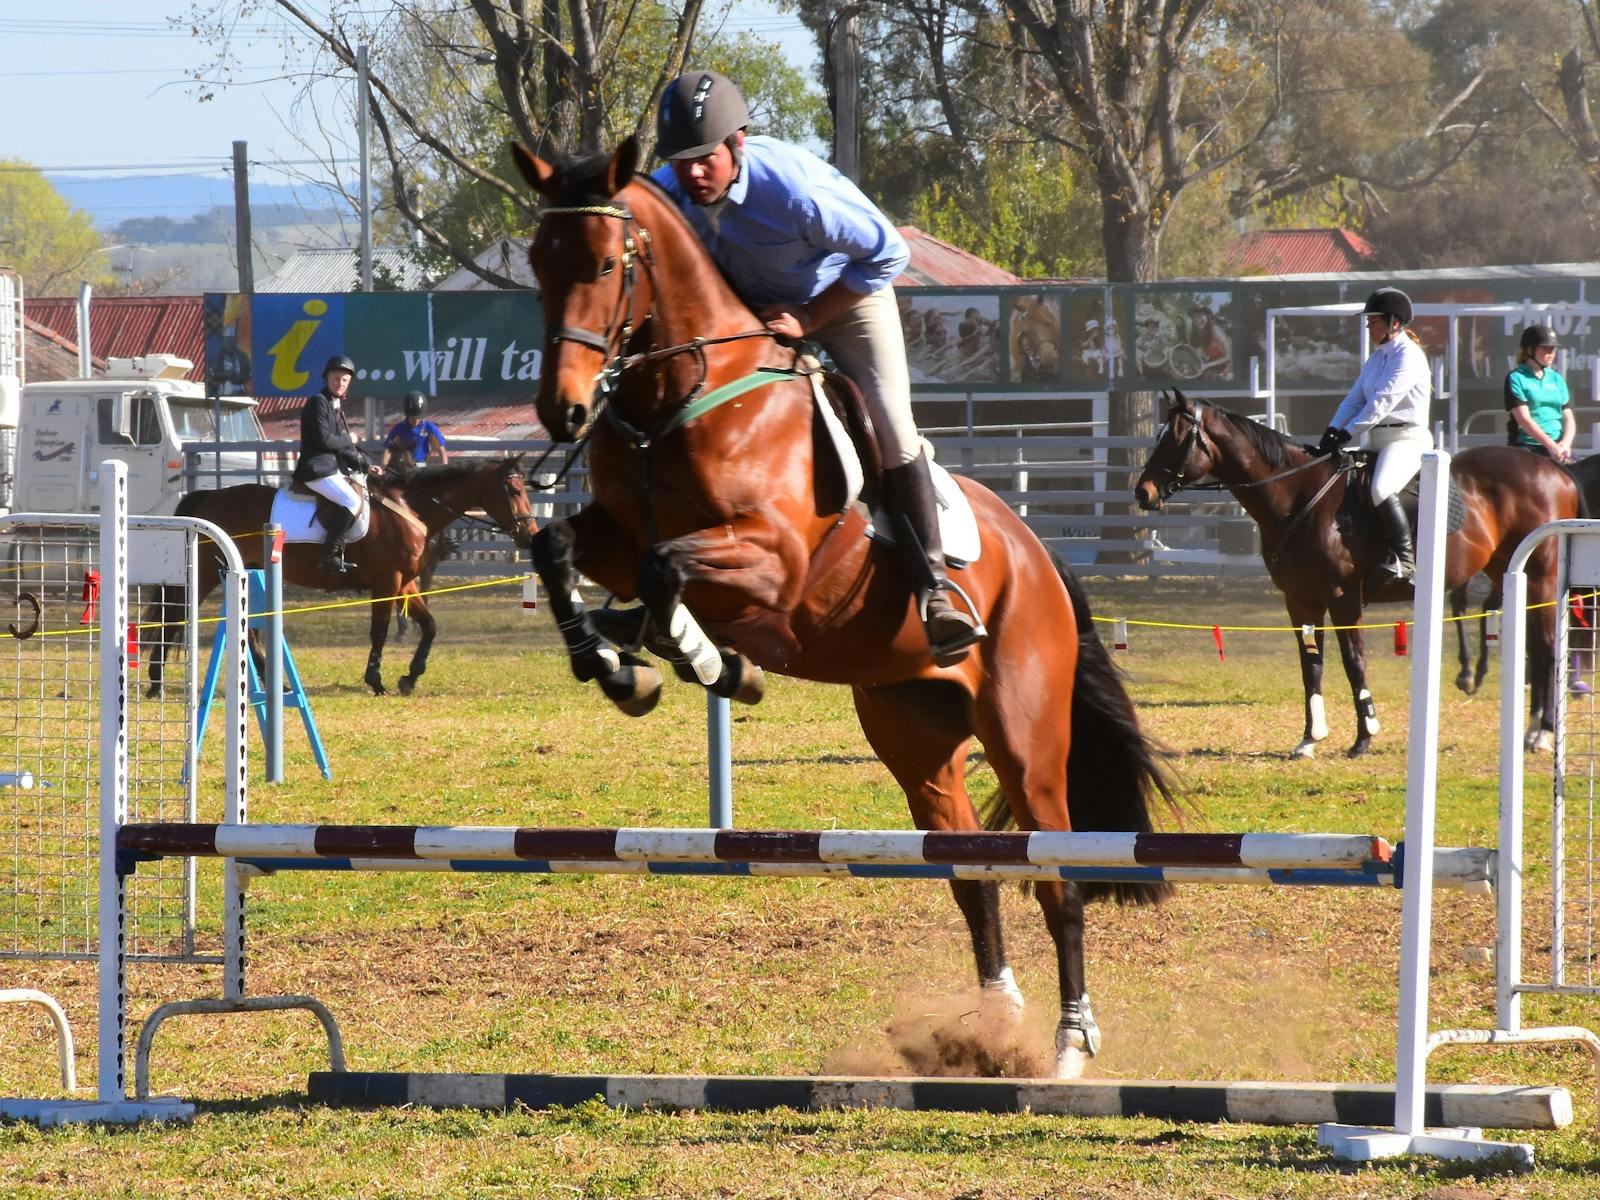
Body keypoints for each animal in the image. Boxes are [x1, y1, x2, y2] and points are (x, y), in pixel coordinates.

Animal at [145, 460, 531, 704]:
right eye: (513, 491)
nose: (528, 534)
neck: (411, 508)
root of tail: (211, 497)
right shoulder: (387, 582)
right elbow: (379, 631)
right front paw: (376, 681)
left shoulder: (405, 583)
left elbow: (430, 625)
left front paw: (410, 676)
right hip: (208, 572)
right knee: (174, 617)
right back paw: (155, 684)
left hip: (249, 572)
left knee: (247, 631)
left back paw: (275, 685)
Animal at [512, 138, 1177, 1081]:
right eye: (538, 264)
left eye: (607, 264)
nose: (562, 409)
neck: (677, 398)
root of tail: (1040, 558)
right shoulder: (611, 532)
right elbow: (559, 550)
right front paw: (616, 663)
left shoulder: (772, 562)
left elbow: (665, 569)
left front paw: (708, 661)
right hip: (916, 740)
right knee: (972, 875)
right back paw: (991, 1029)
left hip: (1025, 739)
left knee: (1057, 878)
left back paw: (1068, 1045)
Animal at [1132, 390, 1580, 755]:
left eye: (1174, 438)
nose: (1143, 492)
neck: (1297, 497)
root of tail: (1556, 473)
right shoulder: (1300, 600)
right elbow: (1311, 664)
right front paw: (1309, 739)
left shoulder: (1343, 598)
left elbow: (1353, 661)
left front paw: (1364, 736)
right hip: (1509, 573)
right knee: (1537, 644)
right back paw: (1534, 731)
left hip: (1539, 575)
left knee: (1545, 645)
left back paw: (1542, 733)